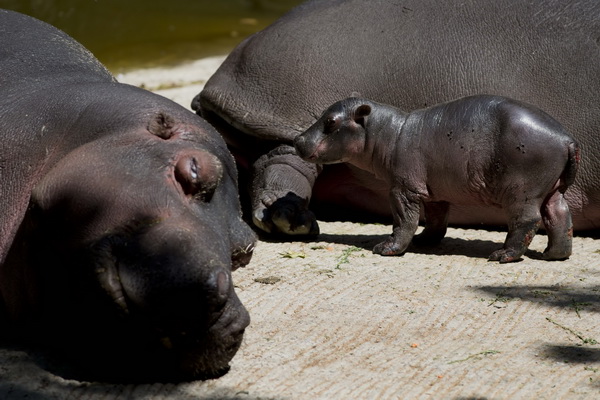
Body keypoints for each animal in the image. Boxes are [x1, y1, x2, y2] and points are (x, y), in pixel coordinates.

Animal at [292, 95, 580, 264]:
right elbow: (436, 219)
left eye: (330, 121)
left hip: (522, 191)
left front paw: (386, 248)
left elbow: (404, 220)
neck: (387, 133)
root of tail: (566, 138)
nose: (297, 139)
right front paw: (425, 241)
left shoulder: (402, 190)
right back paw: (553, 255)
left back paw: (502, 255)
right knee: (560, 216)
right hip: (551, 189)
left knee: (527, 220)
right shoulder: (433, 191)